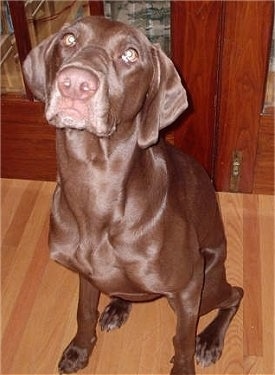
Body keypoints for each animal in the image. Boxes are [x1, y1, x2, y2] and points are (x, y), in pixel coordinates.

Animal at [23, 16, 244, 374]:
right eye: (69, 39)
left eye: (130, 55)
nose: (75, 83)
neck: (95, 180)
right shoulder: (85, 274)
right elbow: (84, 312)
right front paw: (79, 350)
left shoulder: (188, 286)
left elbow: (182, 341)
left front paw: (186, 362)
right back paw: (118, 305)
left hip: (208, 283)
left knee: (235, 294)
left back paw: (210, 340)